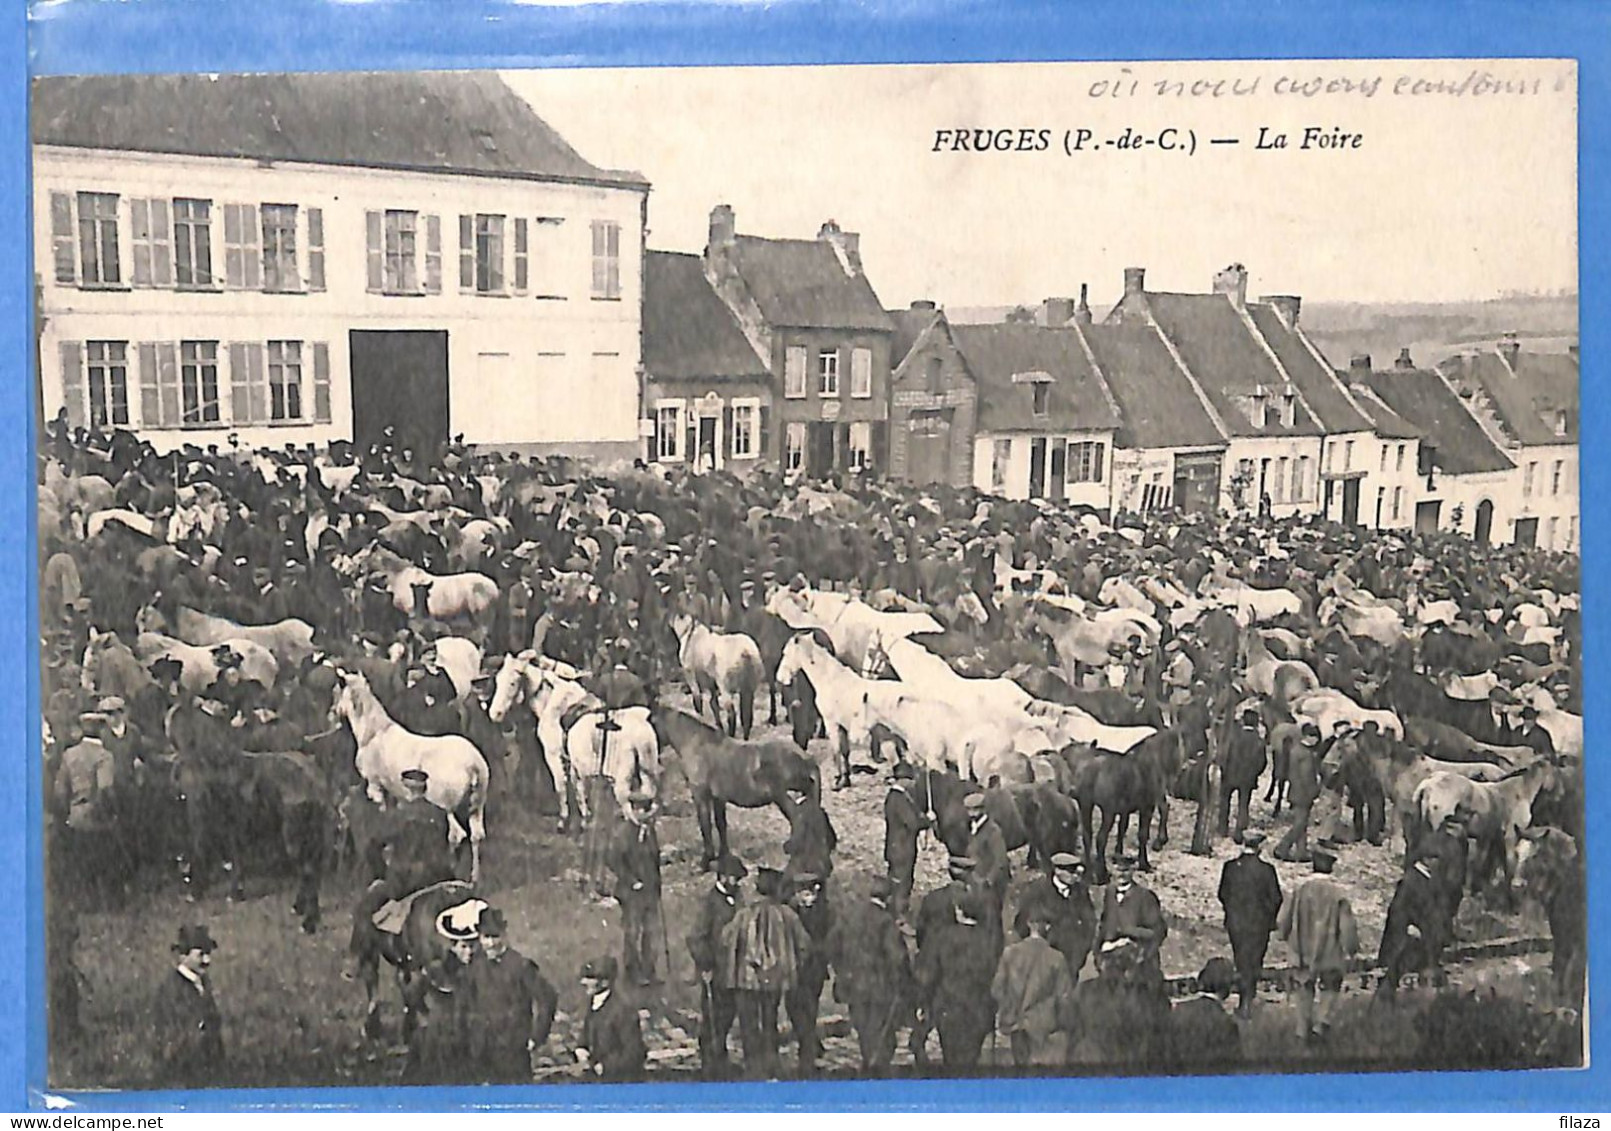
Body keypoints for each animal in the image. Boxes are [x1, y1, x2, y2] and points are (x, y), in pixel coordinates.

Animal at [335, 673, 486, 889]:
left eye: (339, 691)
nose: (336, 711)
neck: (374, 732)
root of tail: (473, 764)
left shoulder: (374, 786)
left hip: (446, 805)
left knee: (456, 836)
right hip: (475, 805)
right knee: (476, 836)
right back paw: (474, 878)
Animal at [644, 708, 818, 870]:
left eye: (651, 723)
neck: (697, 744)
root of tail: (805, 757)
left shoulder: (701, 795)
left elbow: (705, 826)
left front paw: (706, 861)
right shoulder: (718, 798)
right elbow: (721, 825)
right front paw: (723, 855)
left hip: (782, 797)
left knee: (797, 817)